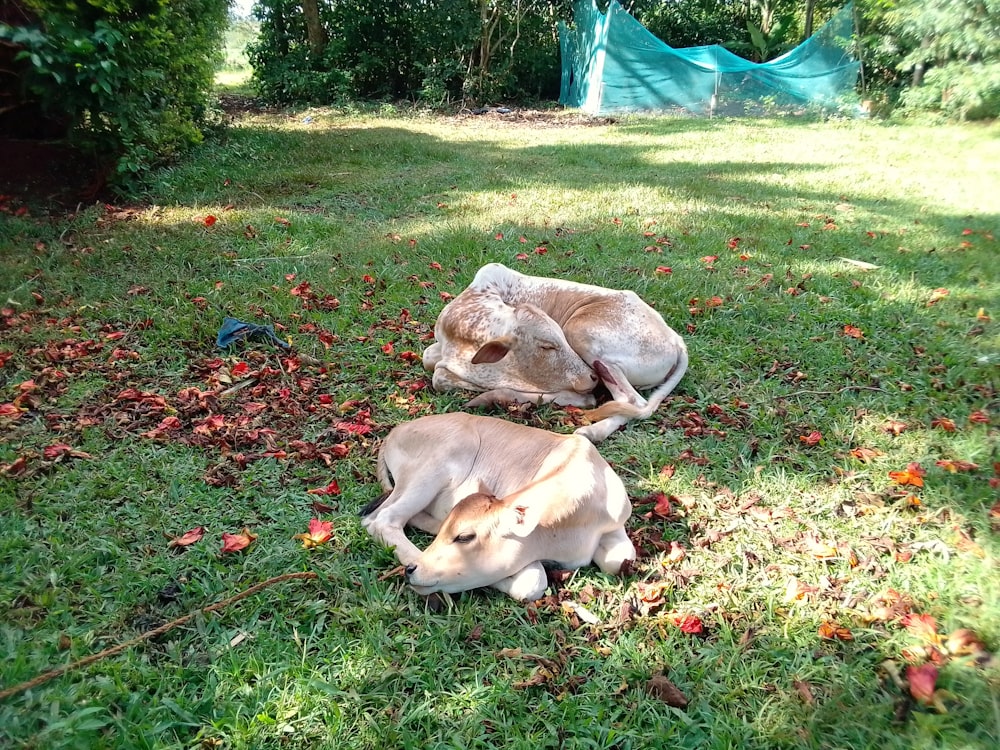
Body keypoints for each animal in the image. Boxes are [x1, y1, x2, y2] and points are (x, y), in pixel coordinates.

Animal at [364, 414, 636, 604]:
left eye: (464, 537)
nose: (411, 570)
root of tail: (396, 431)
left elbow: (620, 559)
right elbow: (531, 582)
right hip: (430, 471)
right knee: (381, 519)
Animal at [422, 264, 688, 444]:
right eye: (547, 346)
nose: (591, 377)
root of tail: (676, 340)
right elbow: (430, 362)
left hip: (580, 331)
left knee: (633, 401)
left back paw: (590, 430)